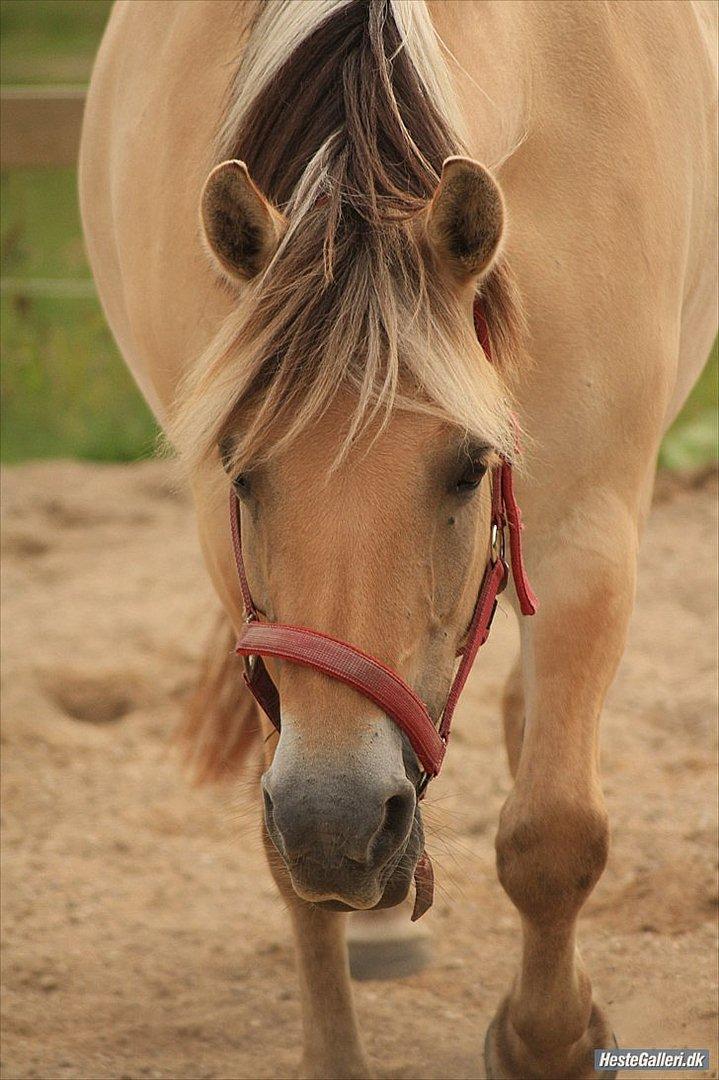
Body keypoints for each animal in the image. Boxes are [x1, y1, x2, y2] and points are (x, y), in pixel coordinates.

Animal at [79, 2, 716, 1080]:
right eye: (242, 472)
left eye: (466, 466)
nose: (337, 819)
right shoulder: (225, 546)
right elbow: (286, 862)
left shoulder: (587, 520)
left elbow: (552, 834)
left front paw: (544, 1038)